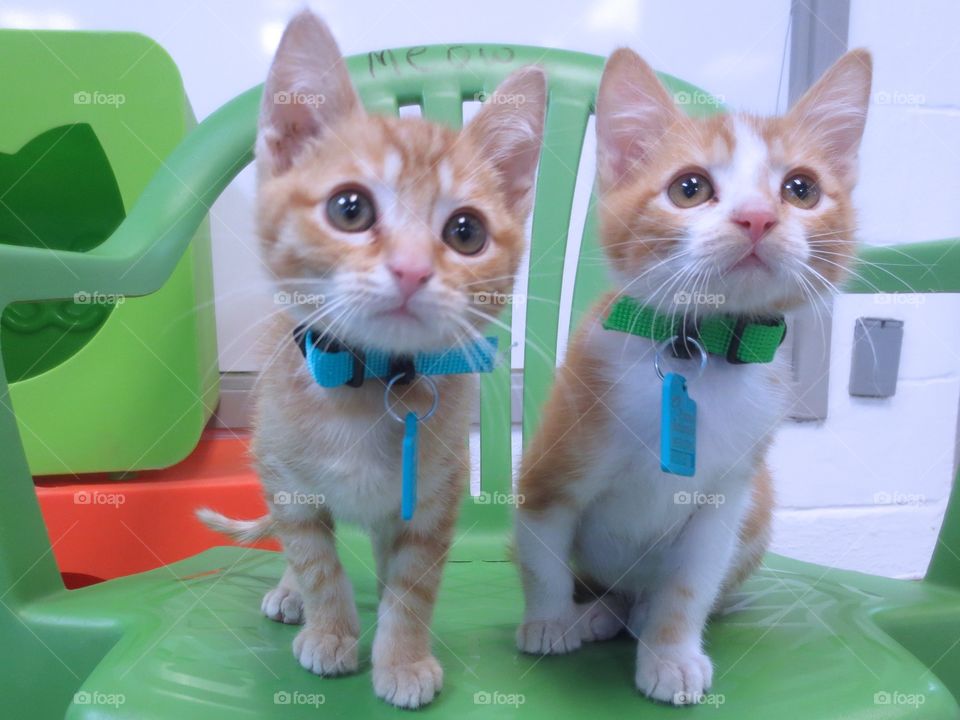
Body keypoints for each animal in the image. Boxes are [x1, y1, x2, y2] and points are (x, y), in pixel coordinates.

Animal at [201, 9, 548, 708]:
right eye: (349, 208)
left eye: (466, 232)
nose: (412, 269)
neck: (367, 381)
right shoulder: (288, 480)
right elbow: (316, 561)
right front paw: (330, 630)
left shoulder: (433, 498)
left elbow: (413, 585)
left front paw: (402, 657)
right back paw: (289, 595)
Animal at [516, 49, 872, 704]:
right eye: (690, 188)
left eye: (801, 189)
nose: (757, 218)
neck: (698, 349)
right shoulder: (550, 467)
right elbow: (542, 553)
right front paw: (548, 622)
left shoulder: (724, 500)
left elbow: (689, 586)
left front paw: (671, 653)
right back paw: (594, 611)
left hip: (760, 503)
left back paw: (632, 613)